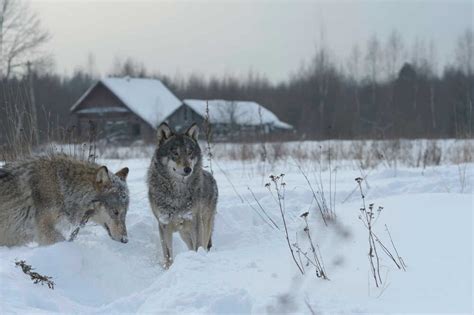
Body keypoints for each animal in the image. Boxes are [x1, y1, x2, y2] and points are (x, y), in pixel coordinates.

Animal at [148, 123, 218, 270]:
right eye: (175, 153)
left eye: (189, 152)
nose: (188, 169)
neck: (177, 193)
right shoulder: (163, 224)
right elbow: (168, 253)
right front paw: (168, 268)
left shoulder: (195, 222)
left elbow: (198, 246)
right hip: (184, 233)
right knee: (190, 246)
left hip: (203, 225)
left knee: (203, 244)